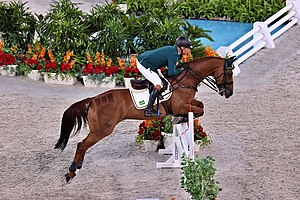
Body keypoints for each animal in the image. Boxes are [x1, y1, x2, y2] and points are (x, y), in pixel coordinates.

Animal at [55, 55, 236, 182]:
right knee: (81, 145)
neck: (186, 79)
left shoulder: (188, 103)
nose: (229, 93)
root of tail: (92, 100)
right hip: (102, 130)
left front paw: (180, 119)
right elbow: (199, 110)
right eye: (229, 72)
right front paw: (181, 118)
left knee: (82, 145)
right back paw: (71, 172)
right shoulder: (181, 106)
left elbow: (201, 106)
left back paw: (76, 167)